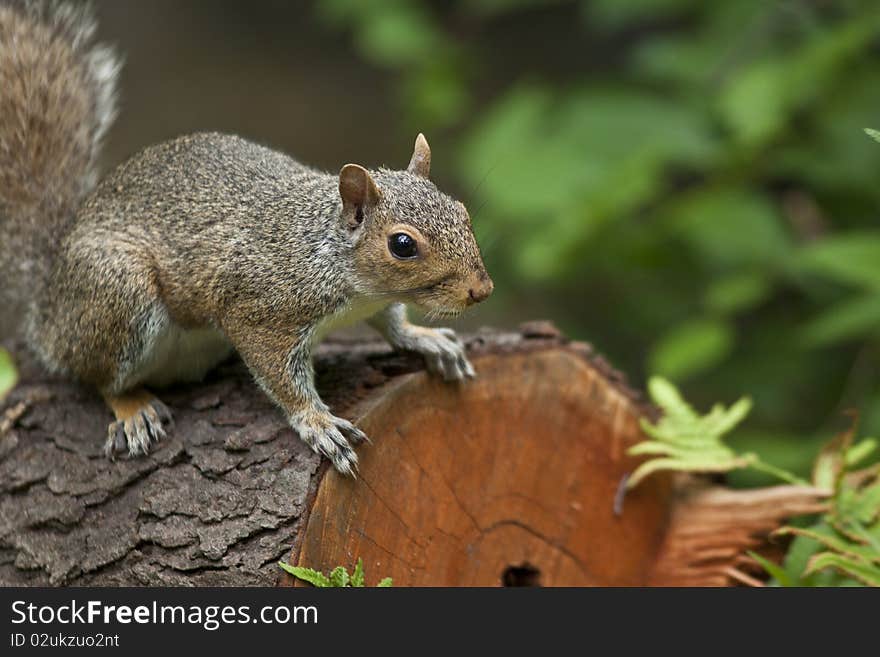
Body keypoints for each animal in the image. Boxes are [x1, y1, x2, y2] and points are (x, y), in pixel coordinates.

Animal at [0, 2, 496, 476]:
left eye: (461, 210)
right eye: (402, 245)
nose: (482, 289)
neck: (328, 253)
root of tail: (49, 295)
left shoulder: (371, 301)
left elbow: (391, 322)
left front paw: (422, 337)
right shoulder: (258, 310)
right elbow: (280, 375)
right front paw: (317, 422)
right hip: (118, 293)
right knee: (94, 375)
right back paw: (132, 407)